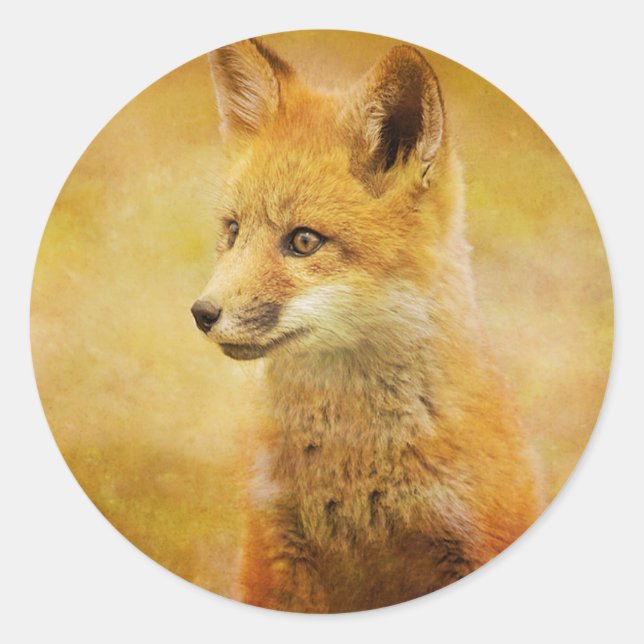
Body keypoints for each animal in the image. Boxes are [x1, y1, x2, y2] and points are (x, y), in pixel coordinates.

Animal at [191, 37, 544, 613]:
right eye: (233, 231)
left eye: (304, 241)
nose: (202, 314)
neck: (354, 471)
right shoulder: (274, 555)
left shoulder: (474, 540)